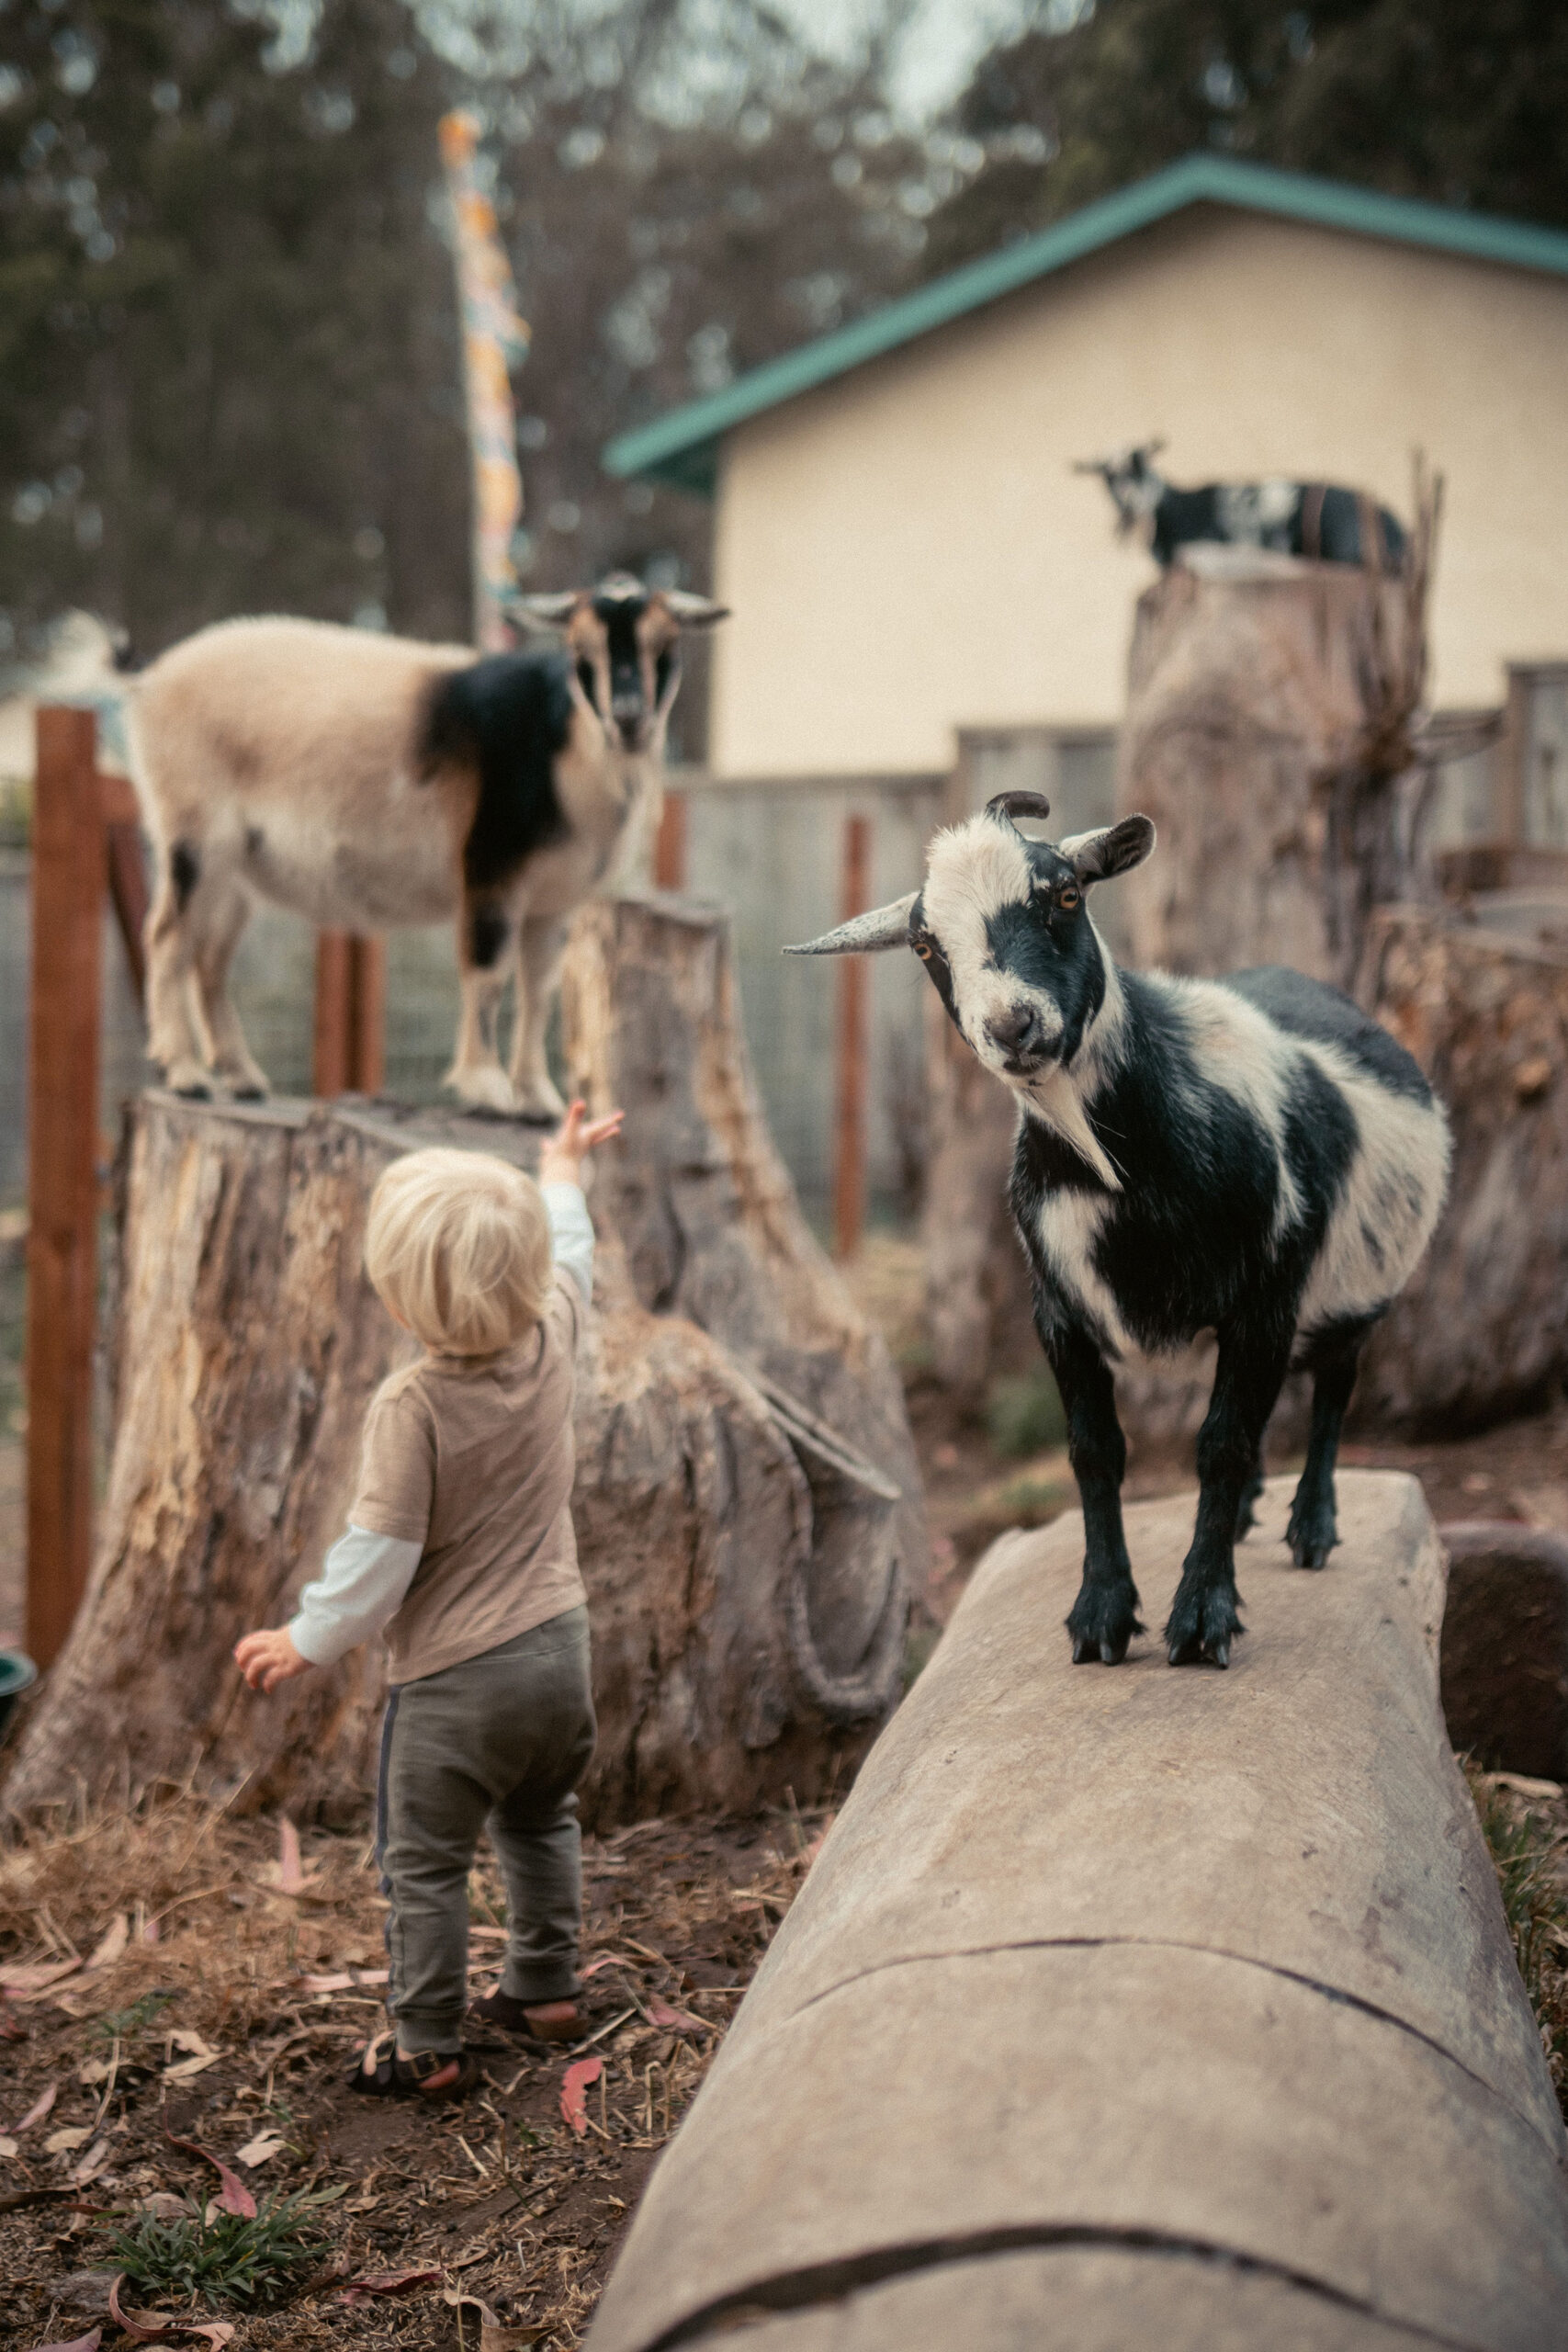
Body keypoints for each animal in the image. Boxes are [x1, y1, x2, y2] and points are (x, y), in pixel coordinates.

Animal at [127, 574, 726, 1116]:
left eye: (666, 648)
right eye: (581, 651)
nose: (628, 717)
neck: (565, 749)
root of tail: (149, 682)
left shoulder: (554, 900)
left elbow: (540, 990)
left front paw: (539, 1100)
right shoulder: (491, 864)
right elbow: (488, 973)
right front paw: (486, 1088)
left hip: (239, 869)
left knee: (209, 958)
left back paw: (242, 1078)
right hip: (193, 830)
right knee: (167, 940)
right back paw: (186, 1074)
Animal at [786, 792, 1449, 1669]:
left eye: (1066, 894)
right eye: (925, 944)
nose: (1012, 1026)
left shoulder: (1265, 1297)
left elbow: (1221, 1444)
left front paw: (1201, 1619)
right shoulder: (1059, 1312)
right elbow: (1096, 1451)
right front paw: (1100, 1616)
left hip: (1348, 1297)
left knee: (1333, 1390)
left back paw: (1310, 1527)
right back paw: (1249, 1517)